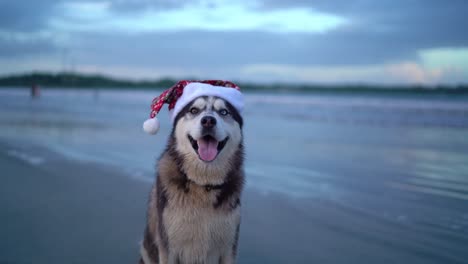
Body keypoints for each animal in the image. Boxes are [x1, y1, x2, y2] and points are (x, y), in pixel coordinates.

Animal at [141, 95, 245, 264]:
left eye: (224, 112)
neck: (203, 184)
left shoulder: (229, 248)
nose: (208, 121)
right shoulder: (168, 248)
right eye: (194, 110)